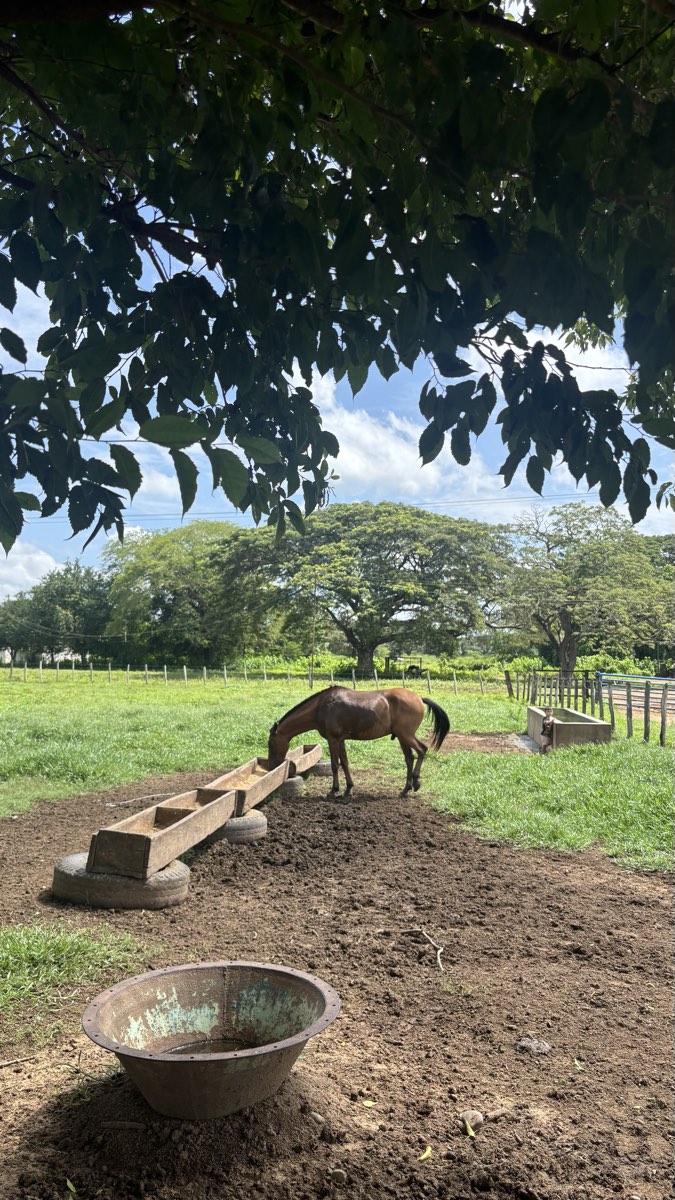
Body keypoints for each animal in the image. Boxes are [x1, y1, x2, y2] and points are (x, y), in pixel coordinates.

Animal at [267, 685, 450, 796]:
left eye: (270, 743)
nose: (272, 766)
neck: (321, 707)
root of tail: (418, 697)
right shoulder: (340, 740)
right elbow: (345, 763)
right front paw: (348, 788)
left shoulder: (333, 740)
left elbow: (335, 765)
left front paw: (334, 790)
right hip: (402, 737)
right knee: (410, 758)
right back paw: (405, 789)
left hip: (406, 735)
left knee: (422, 750)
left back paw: (416, 782)